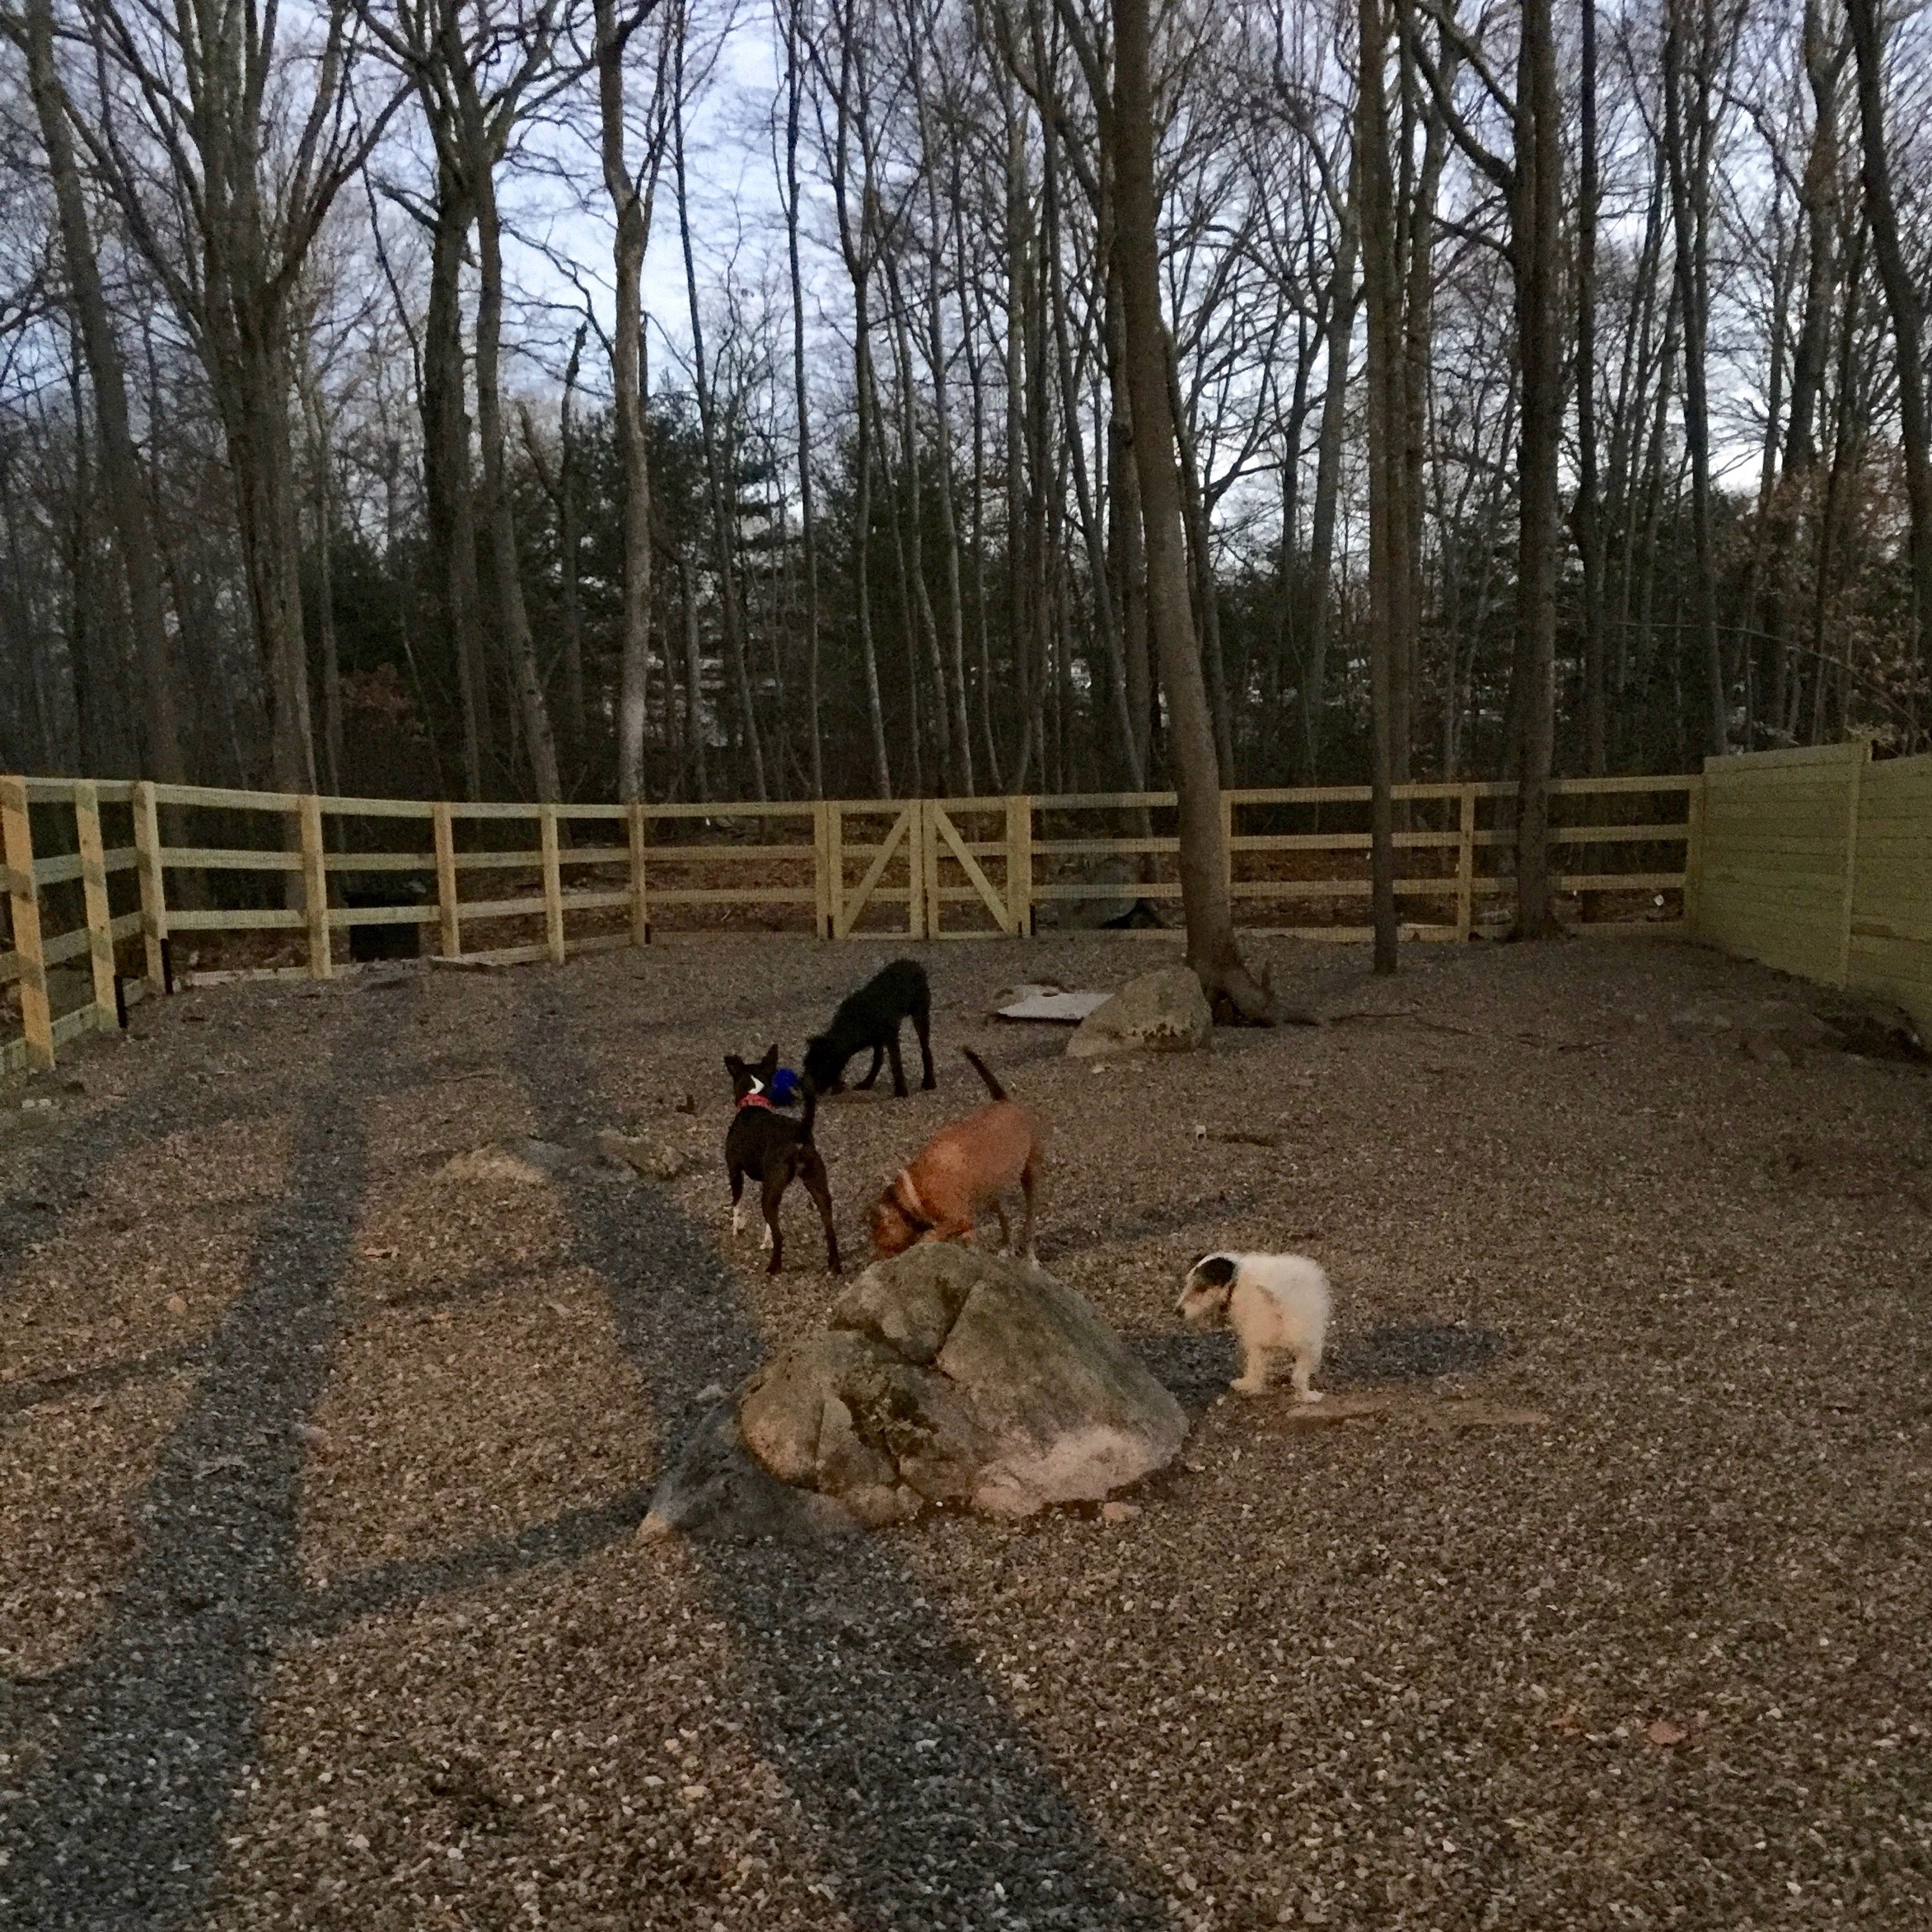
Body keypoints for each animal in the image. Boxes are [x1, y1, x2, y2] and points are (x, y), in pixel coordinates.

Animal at [726, 1050, 838, 1275]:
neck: (754, 1100)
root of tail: (801, 1132)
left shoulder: (734, 1170)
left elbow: (737, 1203)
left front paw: (737, 1227)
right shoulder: (768, 1183)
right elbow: (769, 1225)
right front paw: (765, 1240)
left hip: (769, 1195)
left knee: (781, 1236)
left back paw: (774, 1266)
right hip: (816, 1185)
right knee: (830, 1228)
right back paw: (835, 1265)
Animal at [803, 954, 938, 1097]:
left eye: (820, 1067)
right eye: (806, 1064)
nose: (805, 1089)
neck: (854, 1022)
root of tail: (913, 963)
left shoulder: (890, 1037)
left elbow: (895, 1063)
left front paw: (901, 1091)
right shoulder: (877, 1039)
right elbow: (878, 1059)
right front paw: (860, 1083)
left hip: (920, 1015)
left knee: (926, 1049)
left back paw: (929, 1081)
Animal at [877, 1050, 1043, 1259]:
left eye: (879, 1236)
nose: (877, 1258)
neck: (913, 1190)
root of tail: (1004, 1100)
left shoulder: (958, 1219)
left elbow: (930, 1237)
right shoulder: (966, 1225)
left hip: (1030, 1175)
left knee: (1030, 1218)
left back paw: (1030, 1255)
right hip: (994, 1193)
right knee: (1004, 1219)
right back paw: (1006, 1247)